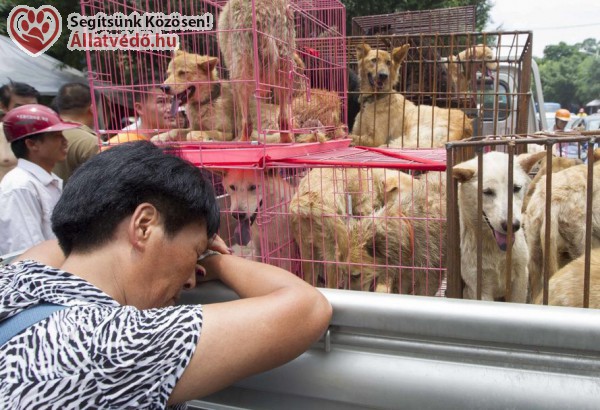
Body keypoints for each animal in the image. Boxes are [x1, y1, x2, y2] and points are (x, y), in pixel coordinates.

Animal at [450, 151, 544, 302]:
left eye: (516, 188)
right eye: (487, 192)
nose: (512, 225)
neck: (496, 251)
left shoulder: (520, 279)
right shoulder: (479, 288)